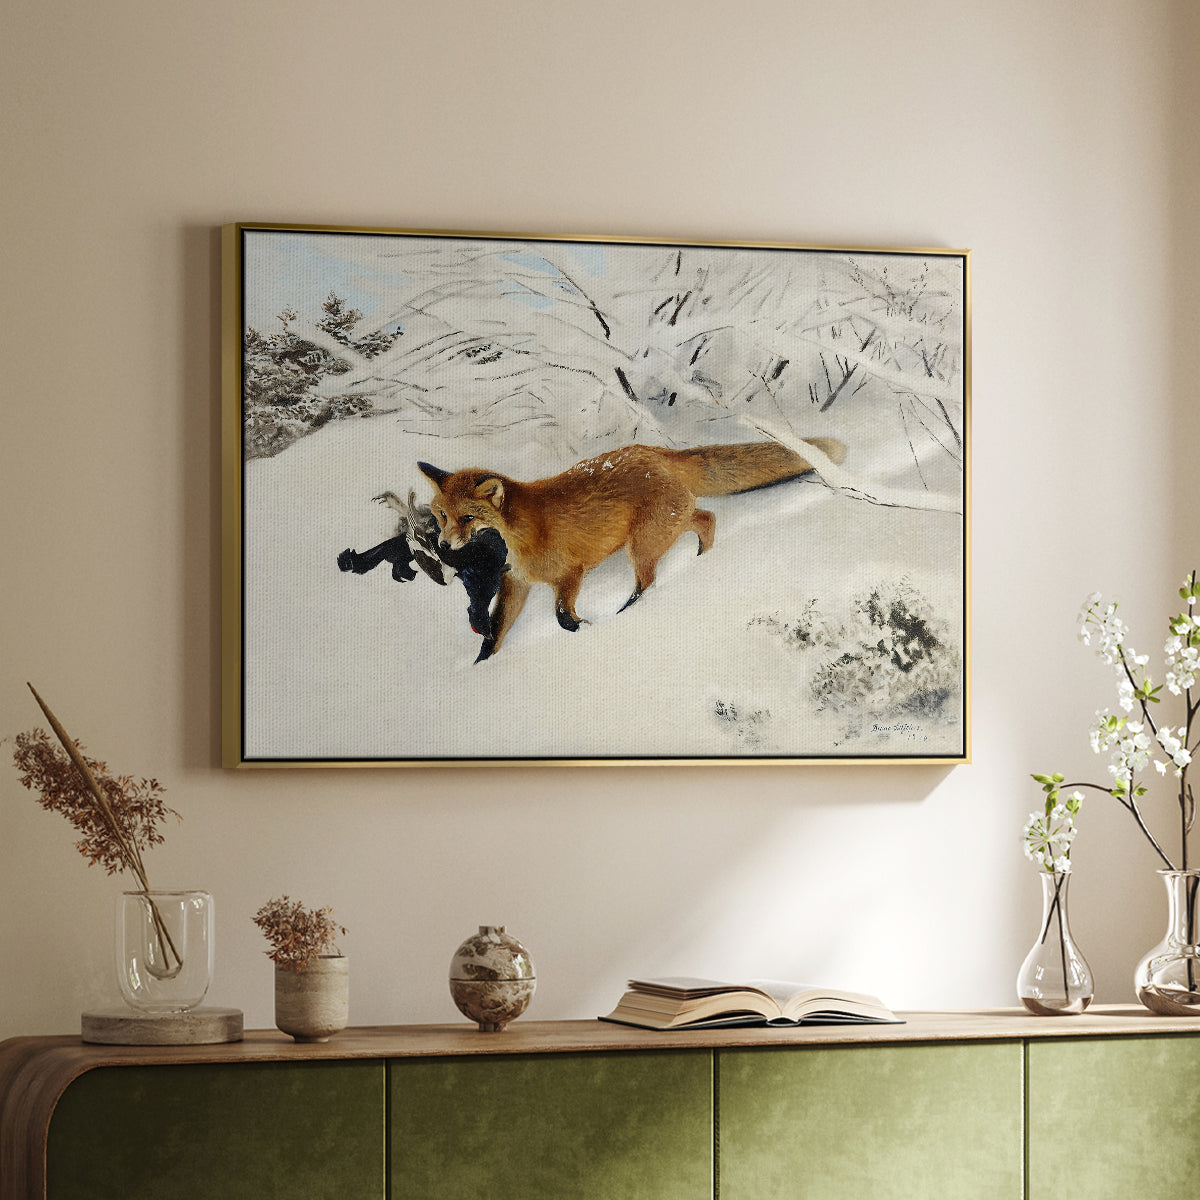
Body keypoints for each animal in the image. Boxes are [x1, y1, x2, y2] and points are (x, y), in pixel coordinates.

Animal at [418, 436, 846, 659]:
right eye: (442, 515)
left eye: (468, 518)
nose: (443, 544)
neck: (521, 535)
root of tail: (655, 451)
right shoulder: (516, 583)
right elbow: (494, 634)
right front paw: (480, 667)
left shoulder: (570, 573)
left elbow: (562, 616)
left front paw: (586, 629)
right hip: (664, 527)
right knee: (706, 518)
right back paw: (702, 559)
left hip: (642, 545)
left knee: (649, 583)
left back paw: (630, 611)